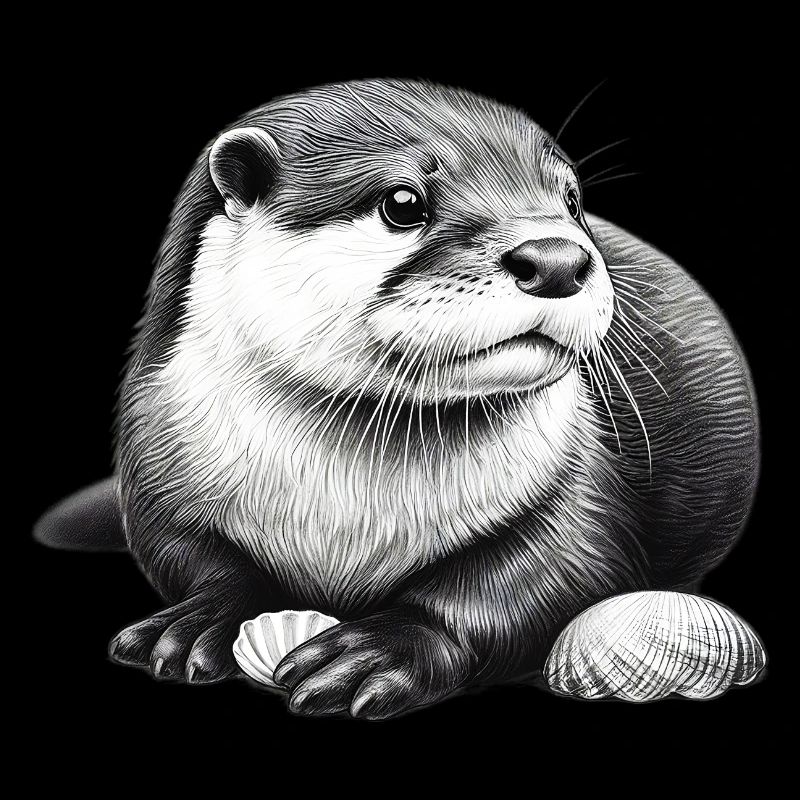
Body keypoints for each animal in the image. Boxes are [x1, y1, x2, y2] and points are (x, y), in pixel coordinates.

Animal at [35, 79, 760, 718]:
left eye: (572, 199)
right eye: (404, 202)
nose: (557, 256)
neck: (344, 516)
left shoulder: (582, 479)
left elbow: (552, 574)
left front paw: (382, 650)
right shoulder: (156, 456)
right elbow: (186, 553)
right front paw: (193, 622)